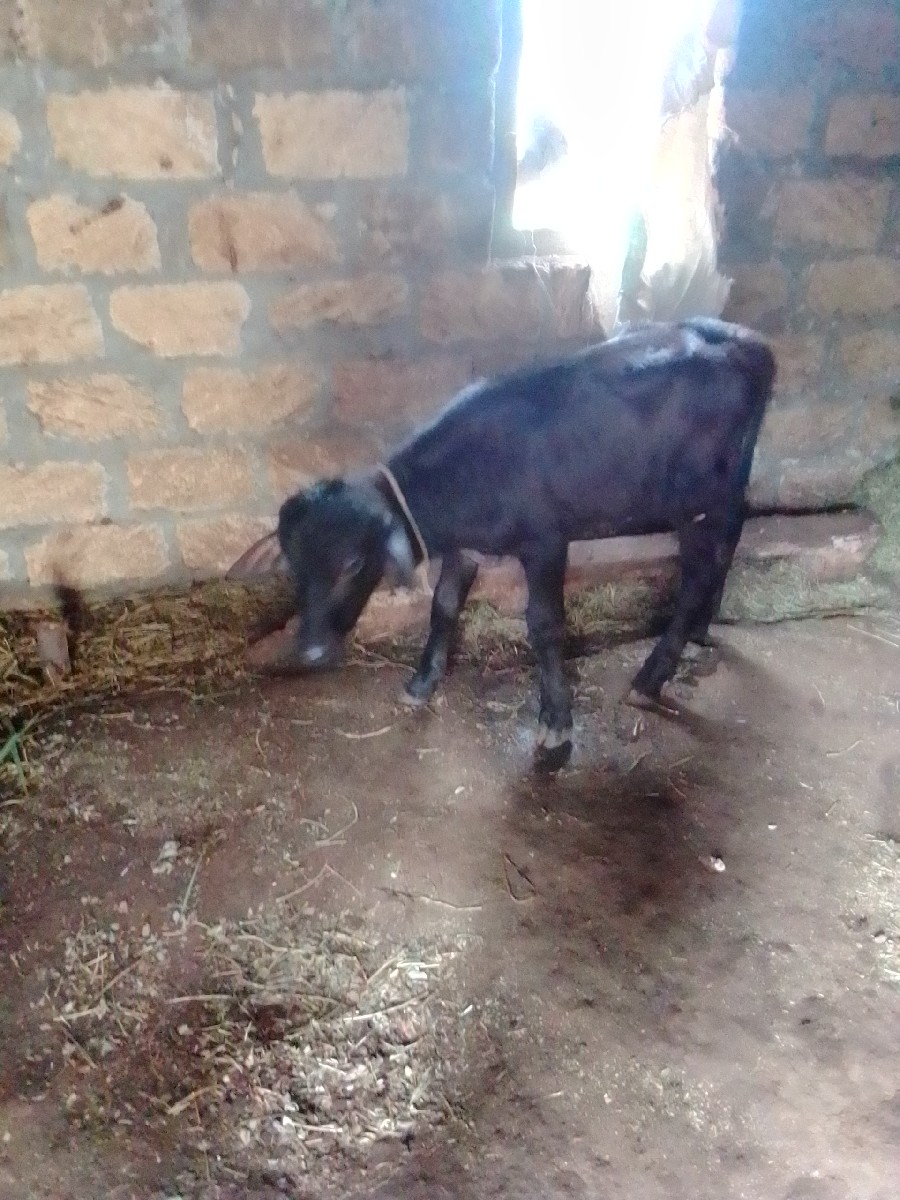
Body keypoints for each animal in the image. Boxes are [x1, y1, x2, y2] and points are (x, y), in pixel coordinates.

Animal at [230, 318, 776, 770]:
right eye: (293, 566)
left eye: (352, 563)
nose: (311, 651)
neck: (470, 473)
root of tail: (748, 341)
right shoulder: (464, 548)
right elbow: (444, 607)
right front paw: (422, 683)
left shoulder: (545, 542)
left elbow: (545, 625)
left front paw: (556, 723)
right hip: (724, 488)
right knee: (728, 541)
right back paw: (701, 631)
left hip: (701, 498)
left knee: (699, 572)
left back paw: (651, 676)